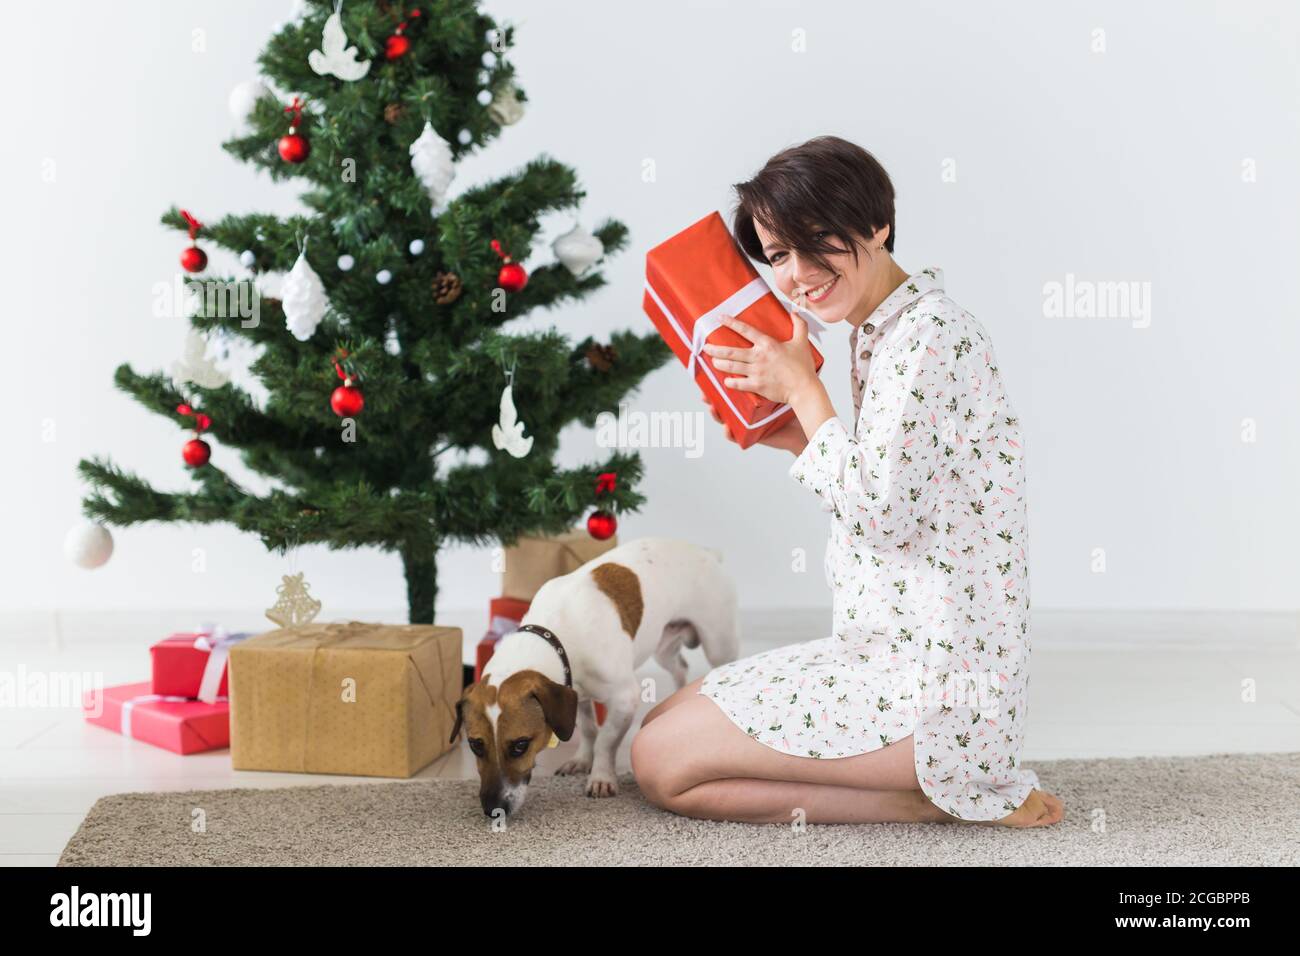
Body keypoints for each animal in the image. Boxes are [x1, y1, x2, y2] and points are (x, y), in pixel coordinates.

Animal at [449, 535, 738, 816]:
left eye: (520, 745)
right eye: (475, 745)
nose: (492, 809)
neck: (557, 634)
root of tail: (706, 551)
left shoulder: (624, 698)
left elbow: (606, 740)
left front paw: (601, 776)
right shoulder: (576, 694)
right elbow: (589, 730)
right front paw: (582, 759)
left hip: (718, 645)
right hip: (663, 648)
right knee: (680, 667)